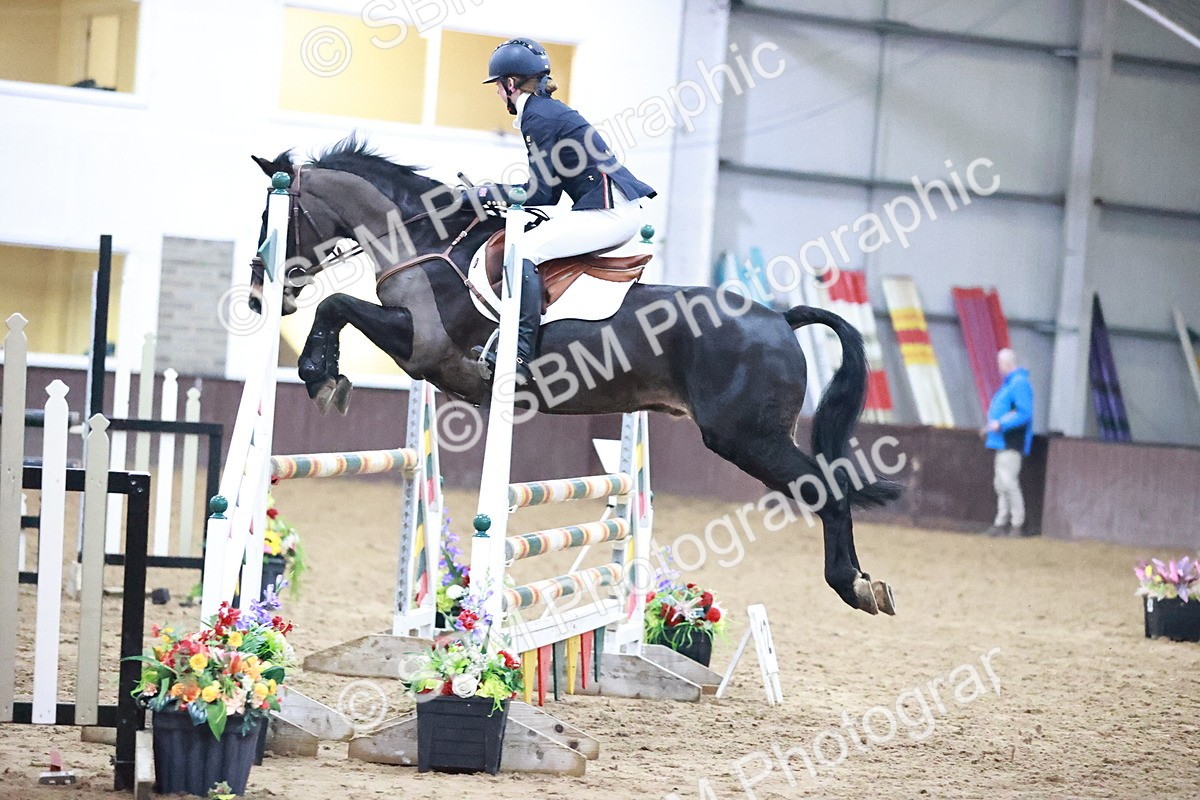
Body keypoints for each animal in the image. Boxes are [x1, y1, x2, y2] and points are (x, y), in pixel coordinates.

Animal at [250, 136, 902, 615]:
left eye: (276, 217)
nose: (260, 292)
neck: (426, 242)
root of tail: (780, 318)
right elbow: (338, 309)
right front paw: (326, 374)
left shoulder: (421, 348)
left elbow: (337, 306)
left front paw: (321, 376)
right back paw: (863, 582)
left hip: (746, 437)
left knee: (830, 492)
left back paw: (854, 585)